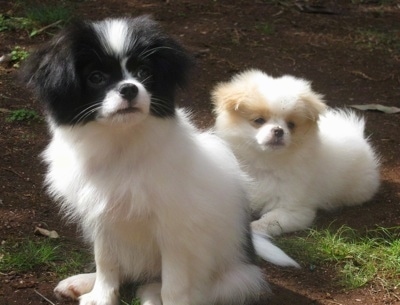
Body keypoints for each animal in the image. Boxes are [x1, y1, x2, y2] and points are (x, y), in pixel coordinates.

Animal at [21, 16, 296, 304]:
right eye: (96, 77)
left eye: (143, 73)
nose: (129, 88)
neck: (122, 145)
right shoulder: (103, 218)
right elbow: (106, 262)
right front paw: (101, 295)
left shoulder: (174, 230)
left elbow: (173, 285)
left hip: (231, 278)